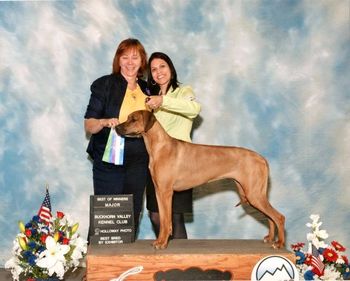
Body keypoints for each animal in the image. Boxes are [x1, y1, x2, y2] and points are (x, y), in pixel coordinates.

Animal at [116, 110, 286, 248]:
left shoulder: (166, 192)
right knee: (269, 217)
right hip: (251, 194)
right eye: (128, 118)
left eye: (133, 119)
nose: (116, 127)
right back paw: (270, 238)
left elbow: (166, 221)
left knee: (278, 217)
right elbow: (163, 219)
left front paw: (162, 243)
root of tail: (261, 158)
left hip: (253, 194)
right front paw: (159, 241)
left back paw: (279, 243)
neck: (158, 146)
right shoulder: (159, 191)